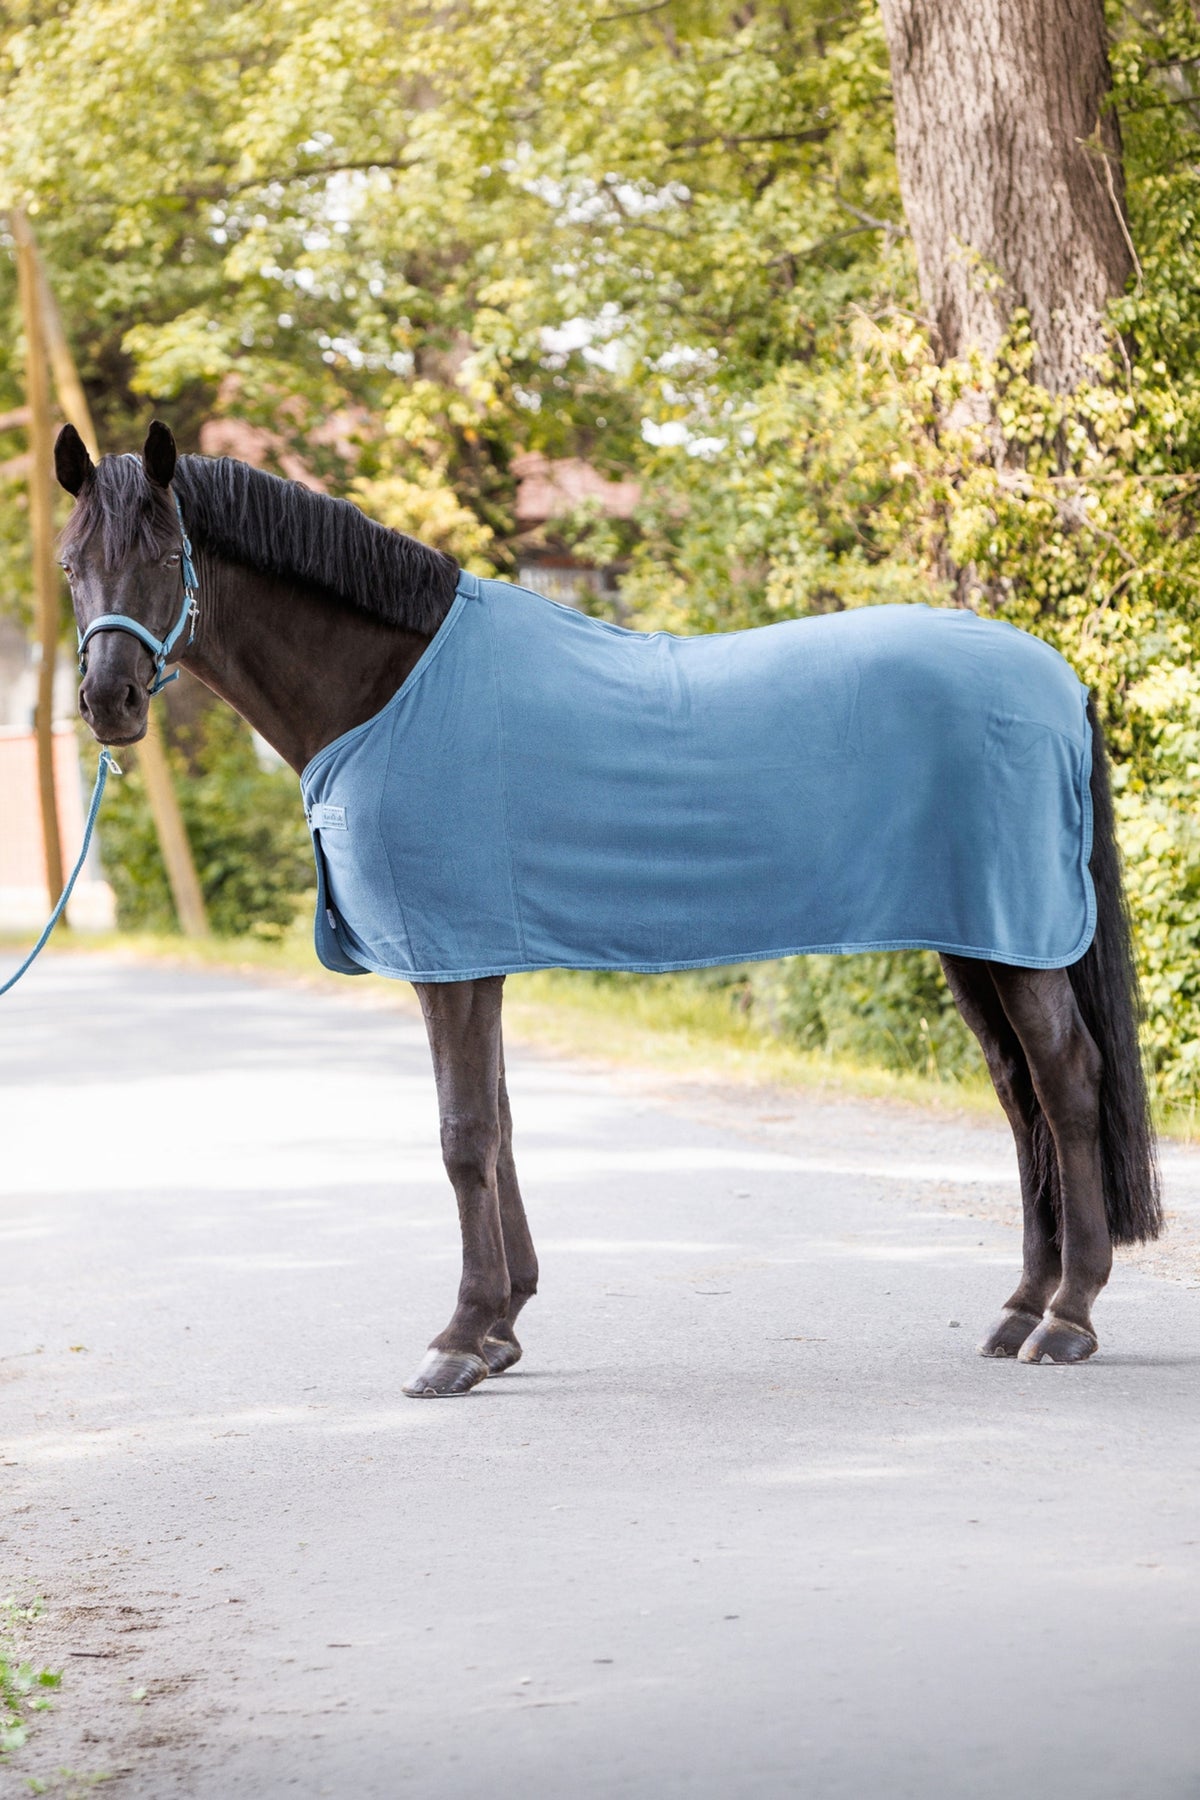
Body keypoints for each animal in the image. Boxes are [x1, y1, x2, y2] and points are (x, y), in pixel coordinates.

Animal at [52, 421, 1162, 1397]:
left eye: (165, 554)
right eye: (70, 566)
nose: (109, 703)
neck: (394, 686)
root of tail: (1055, 675)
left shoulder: (453, 958)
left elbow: (463, 1135)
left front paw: (457, 1339)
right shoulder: (473, 955)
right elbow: (499, 1123)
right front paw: (502, 1325)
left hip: (1018, 939)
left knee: (1067, 1083)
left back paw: (1069, 1318)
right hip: (974, 939)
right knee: (1019, 1098)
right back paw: (1021, 1306)